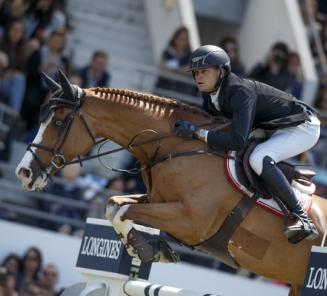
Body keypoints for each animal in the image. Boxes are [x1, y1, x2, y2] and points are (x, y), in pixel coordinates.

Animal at [16, 70, 327, 294]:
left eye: (58, 122)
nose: (23, 173)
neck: (173, 146)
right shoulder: (157, 200)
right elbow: (114, 205)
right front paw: (148, 248)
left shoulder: (192, 222)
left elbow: (123, 209)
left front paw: (148, 249)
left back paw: (301, 225)